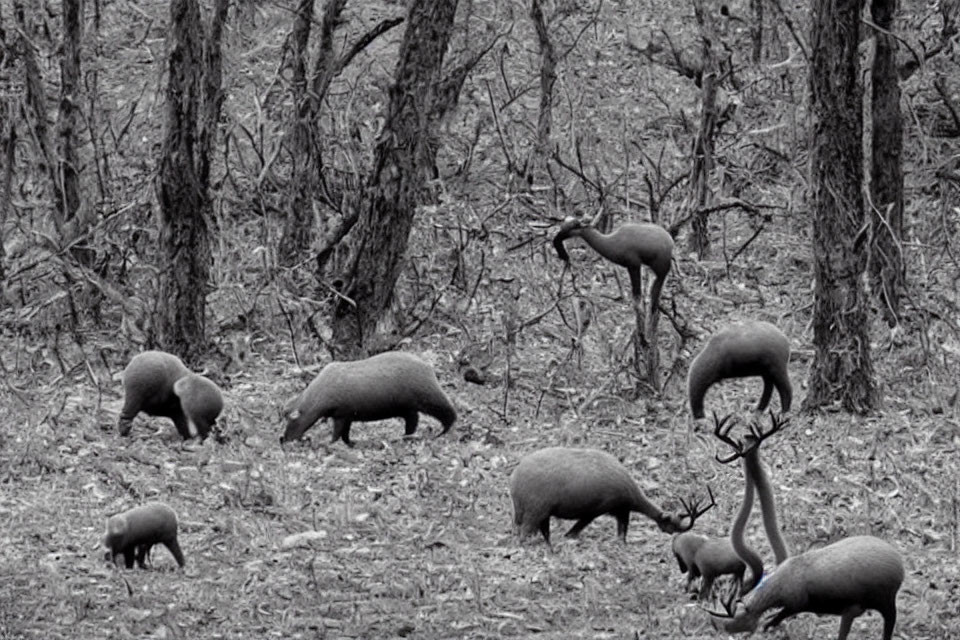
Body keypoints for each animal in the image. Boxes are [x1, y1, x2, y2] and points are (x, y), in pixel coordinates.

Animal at [704, 412, 908, 640]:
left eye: (735, 620)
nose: (715, 626)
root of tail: (899, 563)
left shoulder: (804, 604)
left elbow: (776, 618)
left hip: (886, 601)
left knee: (889, 624)